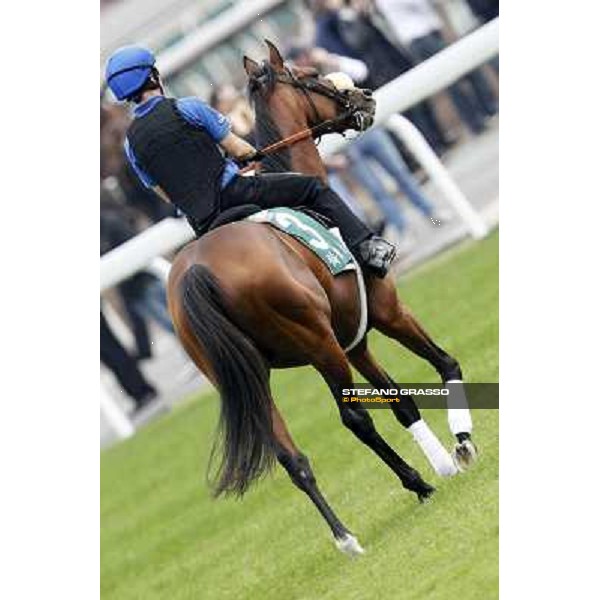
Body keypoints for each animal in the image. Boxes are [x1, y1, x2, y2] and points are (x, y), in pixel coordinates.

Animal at [166, 39, 476, 556]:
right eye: (311, 75)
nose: (364, 96)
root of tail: (197, 270)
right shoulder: (386, 311)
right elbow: (443, 363)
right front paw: (461, 445)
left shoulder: (356, 339)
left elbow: (400, 401)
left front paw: (444, 462)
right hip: (317, 344)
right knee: (354, 418)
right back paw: (415, 483)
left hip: (248, 376)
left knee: (290, 456)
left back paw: (347, 535)